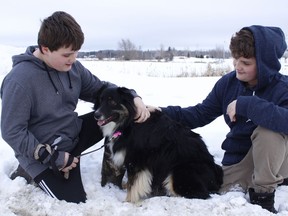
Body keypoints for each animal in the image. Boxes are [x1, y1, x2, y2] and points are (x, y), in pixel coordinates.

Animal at [93, 86, 224, 202]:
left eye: (112, 101)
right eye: (101, 100)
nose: (96, 115)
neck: (128, 123)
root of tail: (217, 176)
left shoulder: (136, 160)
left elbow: (133, 184)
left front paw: (128, 201)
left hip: (180, 172)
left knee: (198, 194)